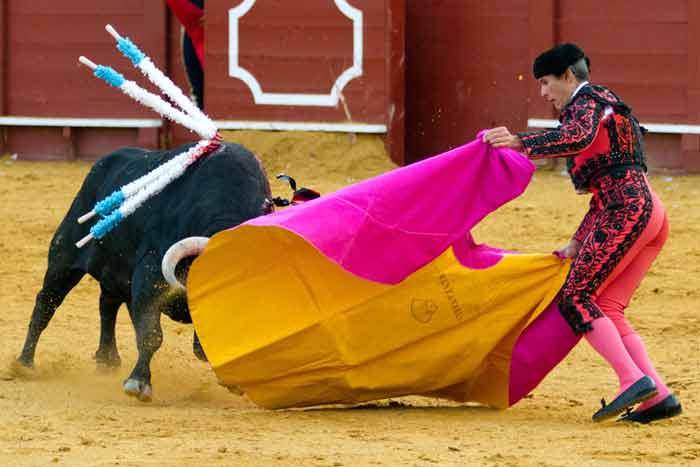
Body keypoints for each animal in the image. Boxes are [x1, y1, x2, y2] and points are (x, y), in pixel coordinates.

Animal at [15, 142, 274, 402]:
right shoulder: (150, 275)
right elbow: (151, 335)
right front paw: (138, 383)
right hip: (64, 257)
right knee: (46, 303)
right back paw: (24, 364)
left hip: (115, 271)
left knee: (108, 303)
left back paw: (107, 359)